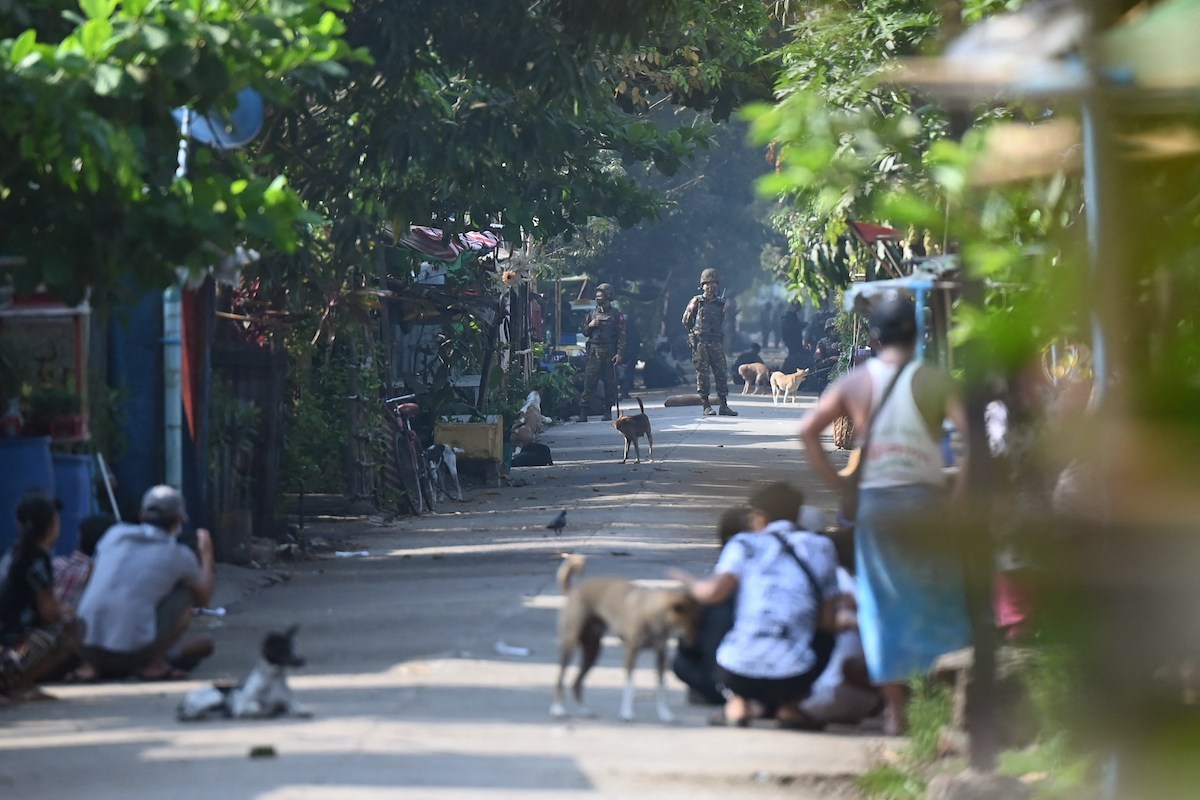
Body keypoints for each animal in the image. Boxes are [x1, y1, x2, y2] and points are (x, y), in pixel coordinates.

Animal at [176, 628, 312, 724]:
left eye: (297, 648)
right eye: (287, 650)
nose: (304, 661)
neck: (272, 679)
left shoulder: (287, 703)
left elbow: (296, 707)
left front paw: (300, 711)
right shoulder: (240, 706)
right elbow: (256, 706)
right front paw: (259, 713)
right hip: (215, 697)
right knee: (187, 713)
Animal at [549, 556, 700, 724]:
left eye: (698, 620)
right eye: (691, 621)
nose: (695, 642)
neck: (653, 614)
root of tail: (573, 592)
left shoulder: (661, 655)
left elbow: (661, 688)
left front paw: (665, 714)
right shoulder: (631, 652)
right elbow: (629, 686)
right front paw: (627, 713)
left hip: (592, 651)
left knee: (576, 684)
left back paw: (584, 711)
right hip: (569, 646)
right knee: (559, 679)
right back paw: (558, 709)